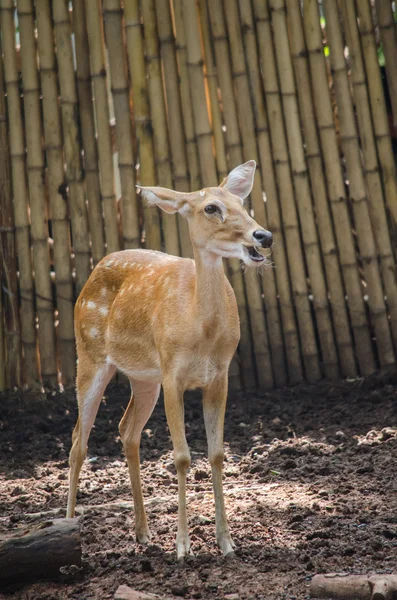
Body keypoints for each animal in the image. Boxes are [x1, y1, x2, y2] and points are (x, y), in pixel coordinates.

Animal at [66, 159, 274, 556]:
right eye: (211, 207)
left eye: (241, 204)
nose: (263, 236)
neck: (200, 330)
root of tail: (94, 270)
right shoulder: (173, 373)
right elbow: (181, 457)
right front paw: (182, 547)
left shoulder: (220, 375)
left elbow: (216, 454)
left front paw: (227, 543)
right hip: (90, 354)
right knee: (78, 440)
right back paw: (67, 526)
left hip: (144, 377)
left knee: (127, 430)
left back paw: (143, 532)